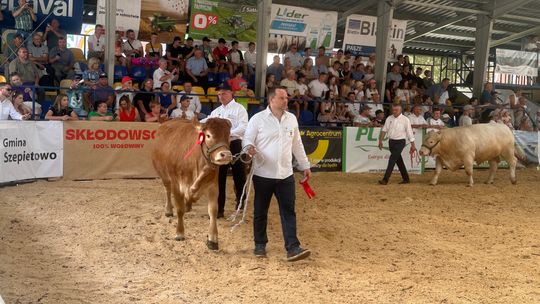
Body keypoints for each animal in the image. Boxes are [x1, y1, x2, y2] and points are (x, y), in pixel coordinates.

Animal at [150, 118, 232, 249]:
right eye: (208, 135)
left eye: (228, 135)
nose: (226, 155)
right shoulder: (176, 184)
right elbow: (179, 209)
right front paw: (179, 233)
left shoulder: (213, 185)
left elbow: (213, 210)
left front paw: (212, 239)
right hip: (163, 173)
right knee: (167, 190)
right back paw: (169, 210)